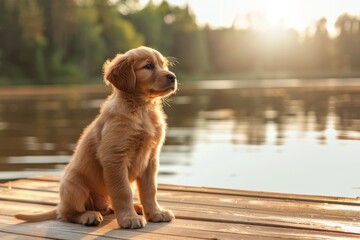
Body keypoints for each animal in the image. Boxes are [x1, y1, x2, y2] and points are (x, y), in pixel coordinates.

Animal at [14, 46, 177, 229]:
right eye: (148, 66)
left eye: (163, 65)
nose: (173, 77)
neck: (142, 108)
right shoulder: (115, 157)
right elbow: (123, 191)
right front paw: (129, 218)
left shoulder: (151, 158)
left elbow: (150, 190)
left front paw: (156, 213)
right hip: (75, 187)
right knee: (67, 214)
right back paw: (89, 215)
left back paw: (135, 207)